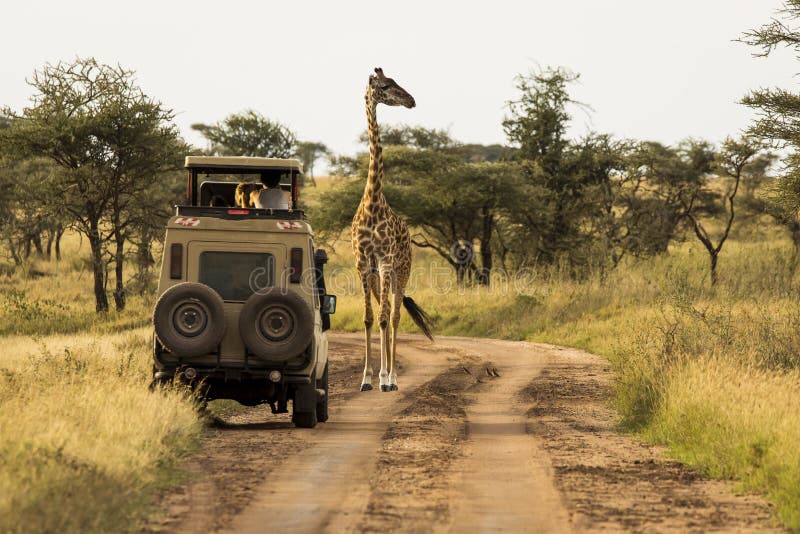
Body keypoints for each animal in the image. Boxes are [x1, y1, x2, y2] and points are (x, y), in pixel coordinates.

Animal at [352, 67, 434, 394]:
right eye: (386, 86)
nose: (411, 100)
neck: (373, 202)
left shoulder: (386, 263)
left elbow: (386, 318)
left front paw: (385, 378)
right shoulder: (364, 265)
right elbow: (368, 318)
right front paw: (366, 379)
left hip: (402, 271)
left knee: (396, 316)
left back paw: (393, 378)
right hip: (379, 277)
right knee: (384, 313)